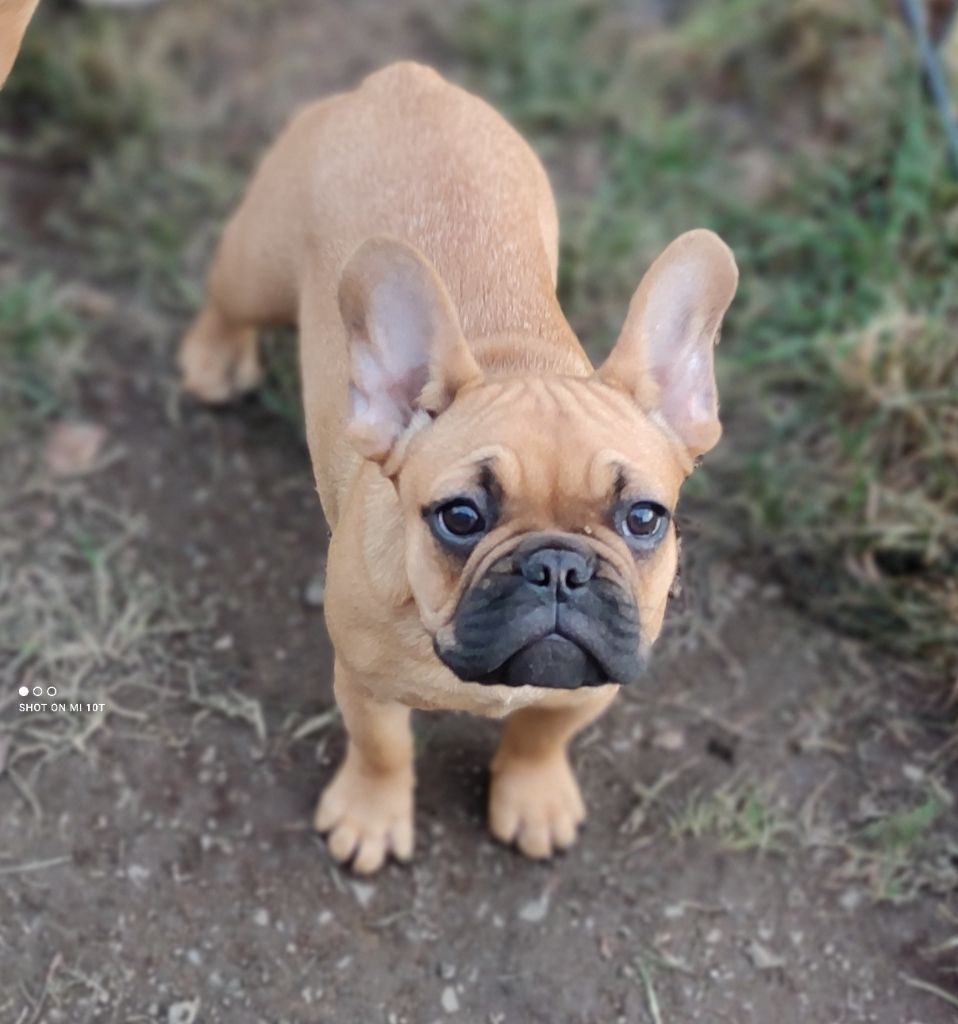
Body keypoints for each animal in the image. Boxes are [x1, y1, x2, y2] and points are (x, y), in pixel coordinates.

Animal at [176, 61, 736, 872]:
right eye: (462, 517)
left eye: (643, 519)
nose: (558, 567)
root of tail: (405, 80)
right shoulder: (365, 682)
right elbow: (382, 750)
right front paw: (371, 817)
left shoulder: (595, 681)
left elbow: (542, 733)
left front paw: (534, 797)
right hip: (259, 260)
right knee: (229, 299)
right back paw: (215, 357)